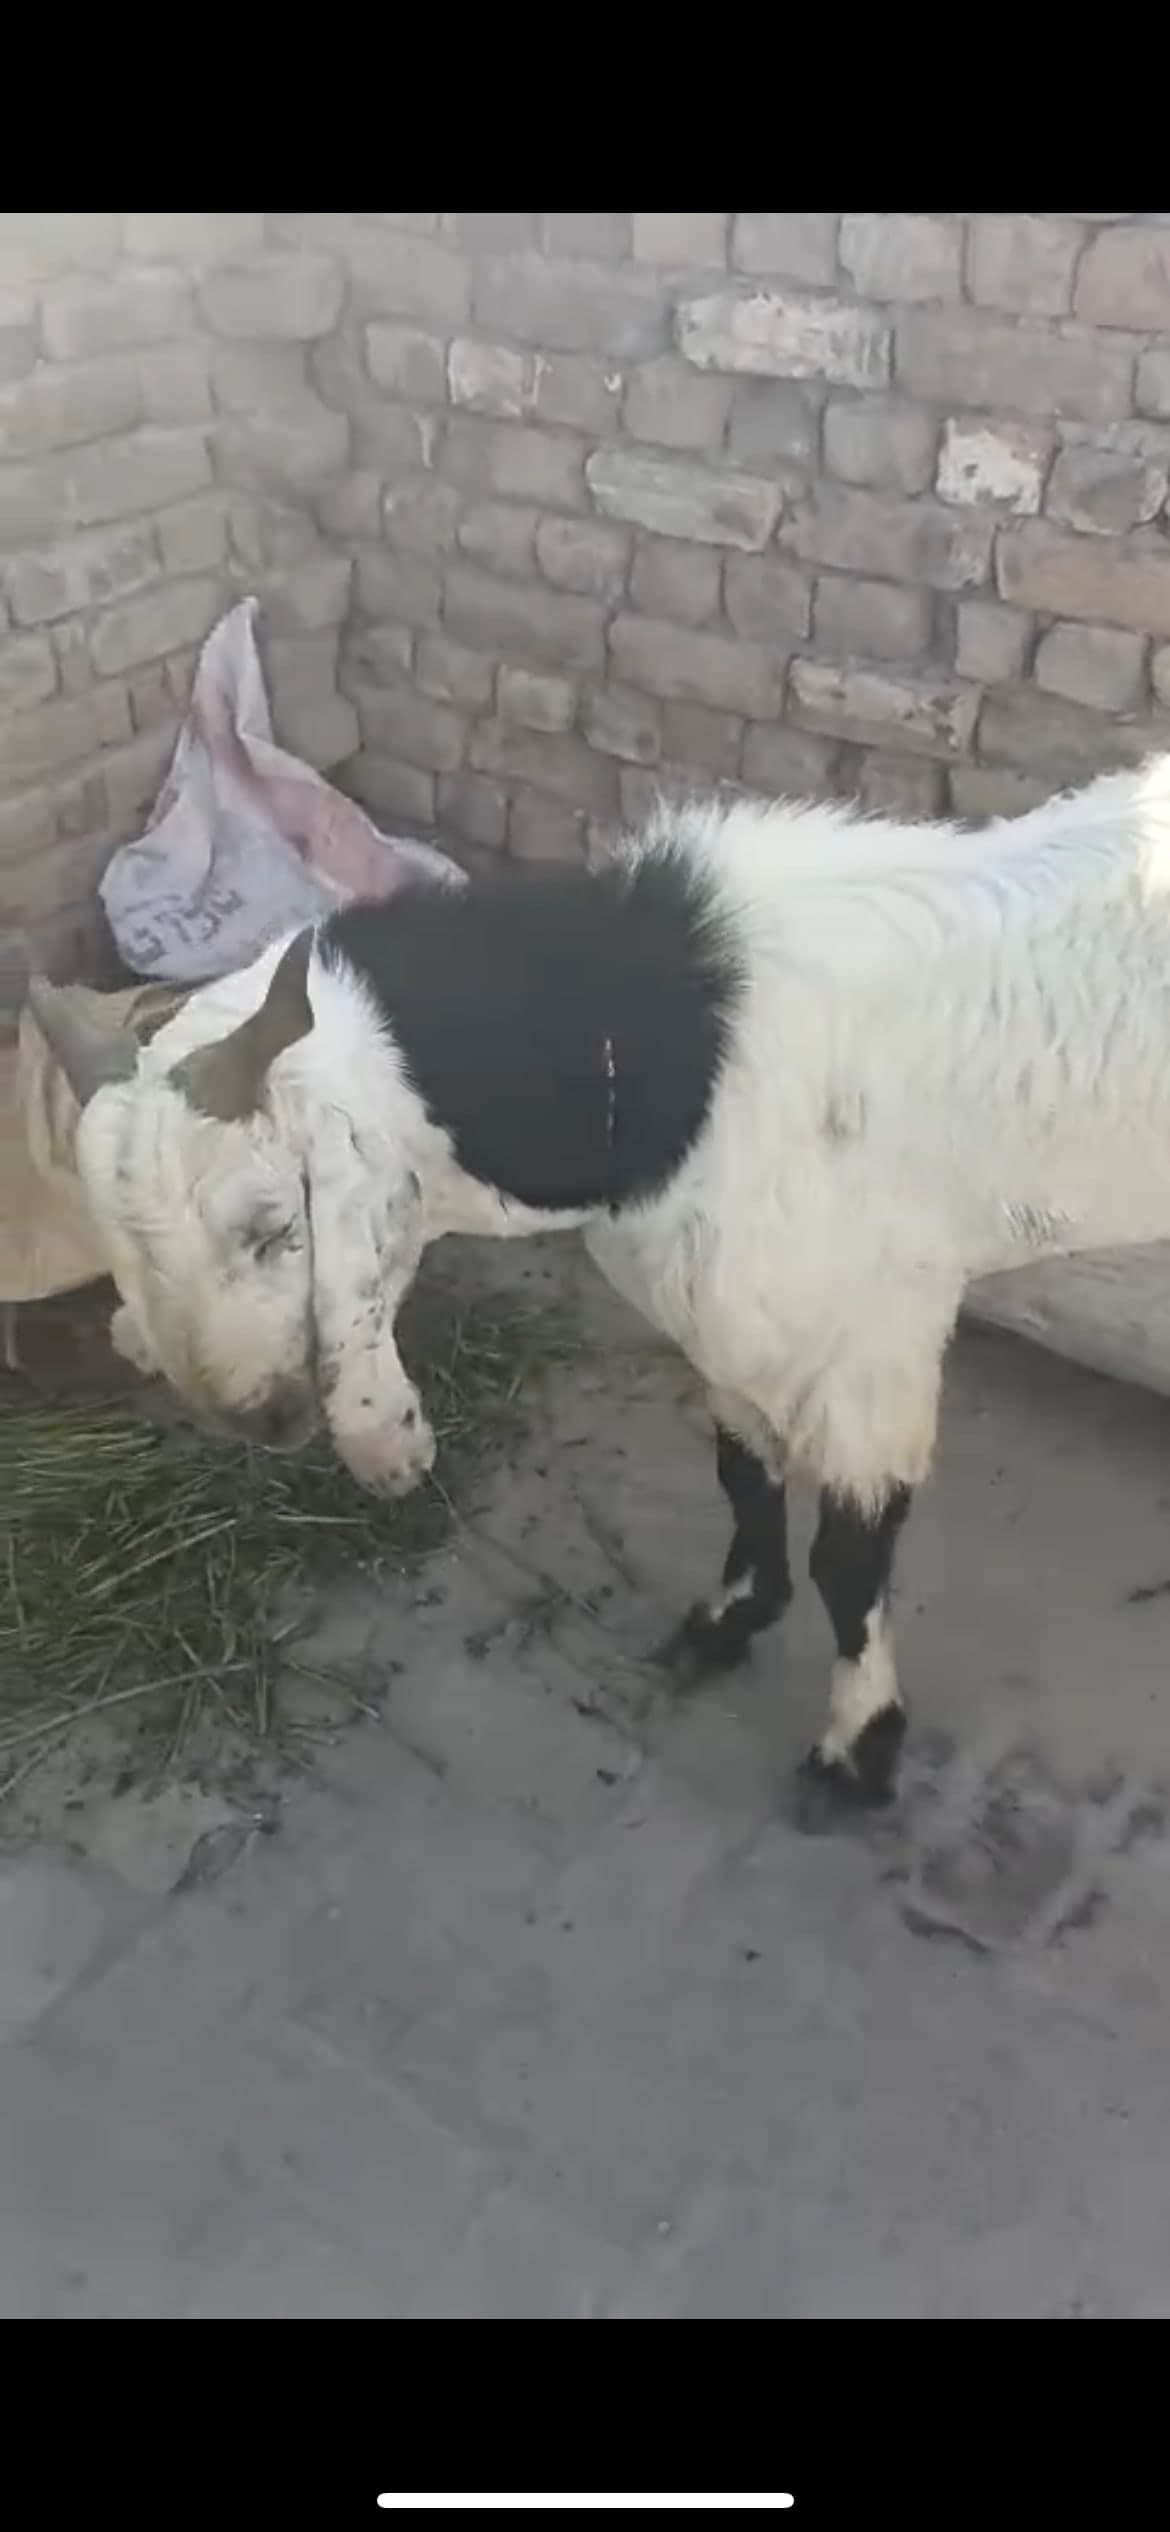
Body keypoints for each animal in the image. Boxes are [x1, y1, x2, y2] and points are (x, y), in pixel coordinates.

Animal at [27, 753, 1170, 1827]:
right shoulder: (732, 1322)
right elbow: (743, 1477)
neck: (650, 1048)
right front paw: (728, 1619)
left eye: (274, 1229)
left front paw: (857, 1750)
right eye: (113, 1238)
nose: (252, 1416)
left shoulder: (873, 1338)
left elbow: (850, 1558)